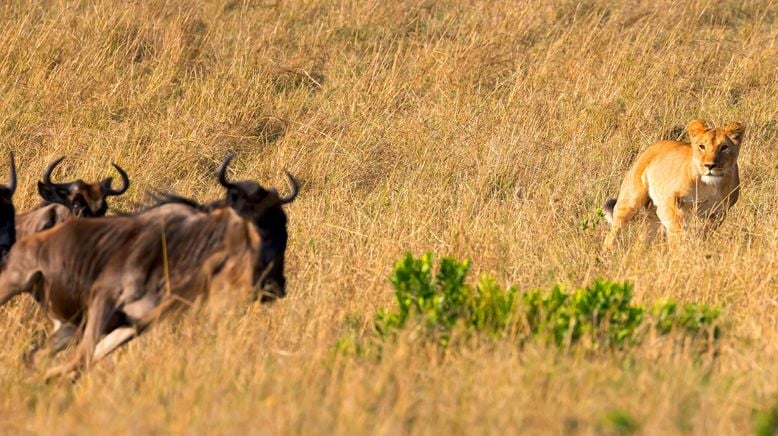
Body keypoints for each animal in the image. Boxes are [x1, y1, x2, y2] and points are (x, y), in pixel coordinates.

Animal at [604, 120, 744, 249]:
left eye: (724, 147)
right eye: (702, 146)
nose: (710, 166)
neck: (710, 186)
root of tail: (652, 147)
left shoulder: (717, 214)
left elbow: (704, 233)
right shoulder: (668, 201)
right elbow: (676, 224)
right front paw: (680, 245)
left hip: (652, 217)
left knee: (643, 240)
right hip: (630, 201)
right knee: (613, 233)